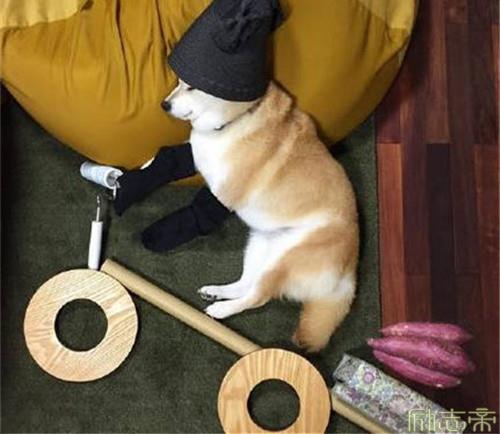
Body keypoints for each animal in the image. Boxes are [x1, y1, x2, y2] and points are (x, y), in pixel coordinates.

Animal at [163, 80, 359, 352]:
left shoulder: (224, 187)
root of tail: (349, 269)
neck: (238, 120)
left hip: (284, 259)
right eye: (178, 82)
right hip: (258, 246)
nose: (164, 105)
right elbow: (189, 148)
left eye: (192, 87)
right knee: (246, 284)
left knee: (257, 297)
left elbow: (197, 157)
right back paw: (216, 292)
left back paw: (221, 310)